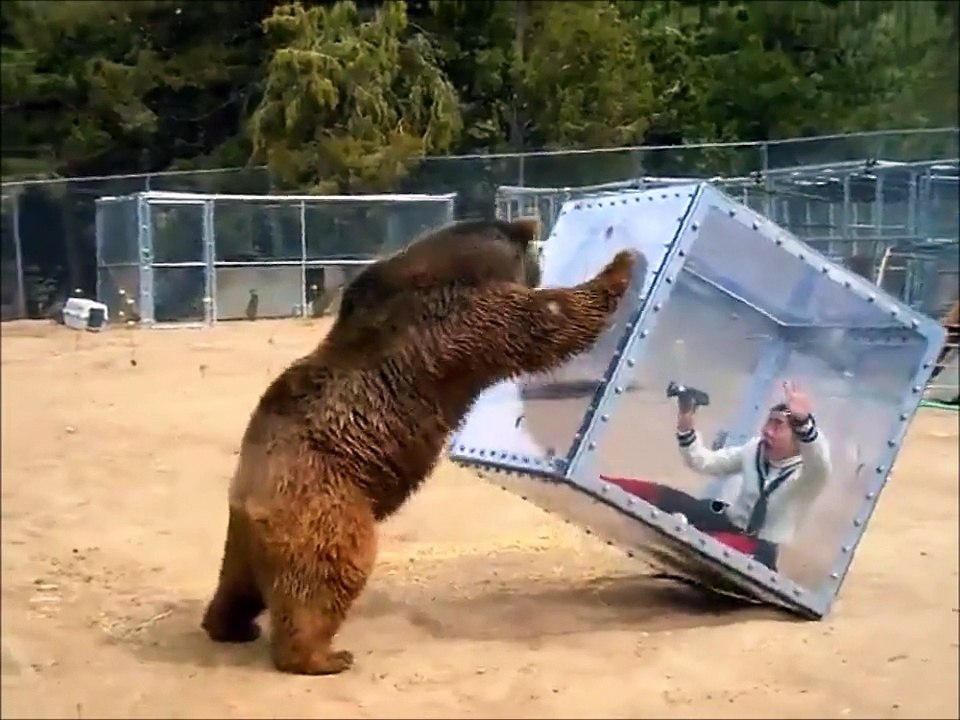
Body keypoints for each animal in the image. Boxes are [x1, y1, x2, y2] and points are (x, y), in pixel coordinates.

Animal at [200, 216, 641, 676]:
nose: (540, 250)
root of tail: (249, 499)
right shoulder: (463, 320)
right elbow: (547, 320)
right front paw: (623, 264)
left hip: (246, 539)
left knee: (237, 586)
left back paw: (231, 626)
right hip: (324, 504)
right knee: (327, 576)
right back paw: (322, 655)